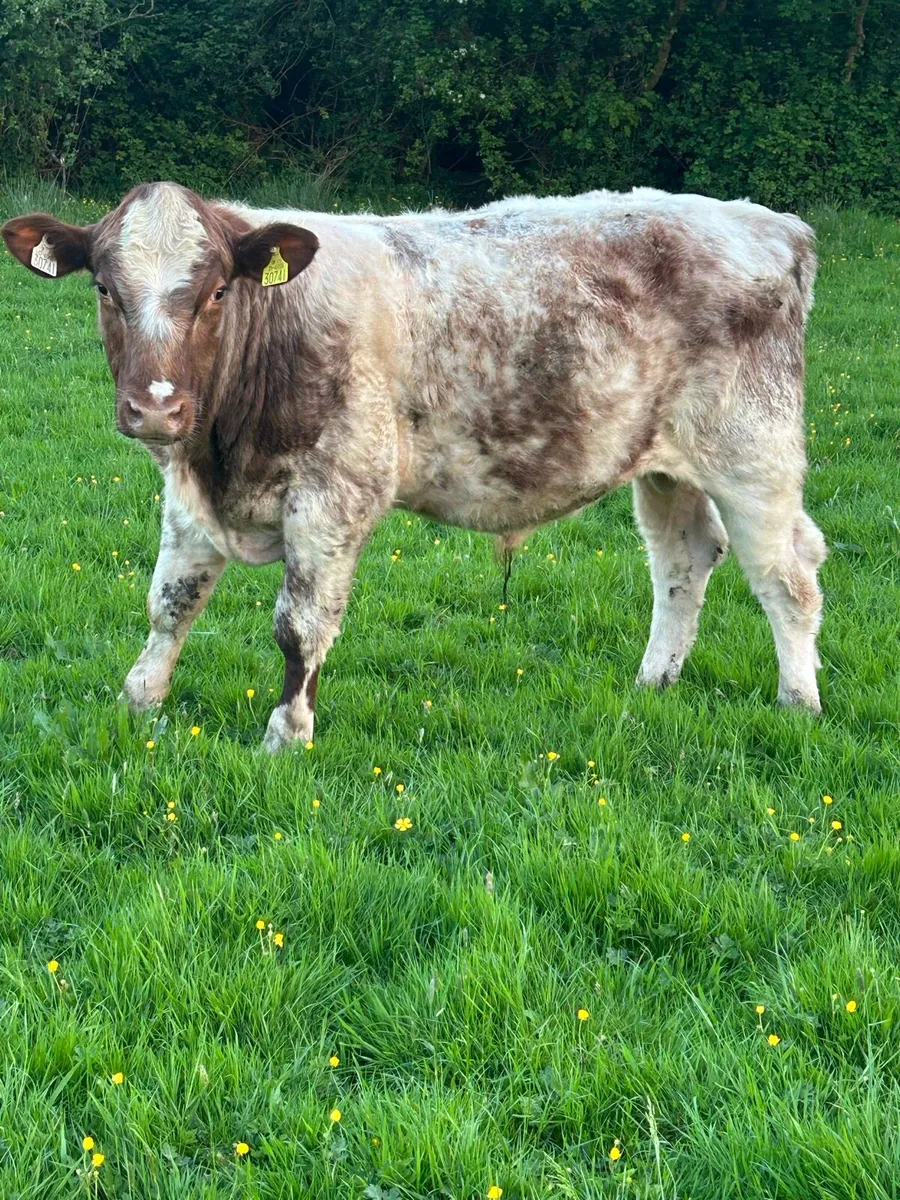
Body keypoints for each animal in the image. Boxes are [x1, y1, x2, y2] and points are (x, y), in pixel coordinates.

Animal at [2, 183, 827, 750]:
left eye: (215, 292)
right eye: (105, 288)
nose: (156, 409)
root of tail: (772, 224)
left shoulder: (335, 496)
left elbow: (300, 627)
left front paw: (286, 733)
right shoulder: (190, 494)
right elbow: (170, 602)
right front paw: (139, 699)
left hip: (754, 455)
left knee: (787, 576)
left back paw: (798, 702)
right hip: (666, 466)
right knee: (685, 561)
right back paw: (654, 682)